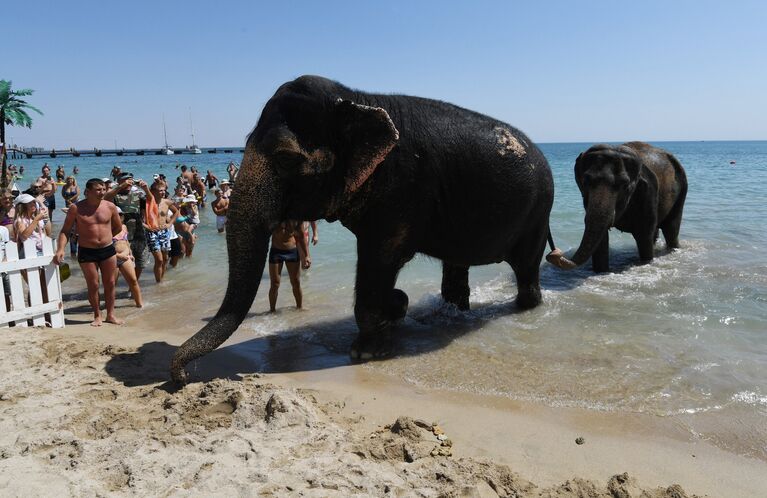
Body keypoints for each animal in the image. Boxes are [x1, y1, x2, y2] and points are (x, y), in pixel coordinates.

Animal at [171, 76, 556, 384]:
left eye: (285, 158)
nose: (182, 376)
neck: (357, 99)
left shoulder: (403, 187)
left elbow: (381, 258)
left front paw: (366, 352)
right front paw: (396, 307)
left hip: (539, 211)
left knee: (525, 269)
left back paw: (525, 307)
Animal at [552, 140, 688, 272]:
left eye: (624, 185)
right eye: (585, 181)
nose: (555, 253)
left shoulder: (649, 192)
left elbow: (644, 235)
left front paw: (646, 262)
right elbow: (601, 239)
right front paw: (601, 271)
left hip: (682, 190)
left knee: (671, 229)